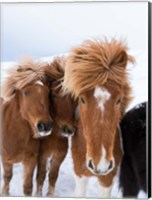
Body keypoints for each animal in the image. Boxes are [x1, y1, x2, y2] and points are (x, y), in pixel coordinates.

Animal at [0, 61, 53, 195]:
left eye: (47, 93)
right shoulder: (6, 159)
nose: (45, 125)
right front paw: (5, 193)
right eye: (26, 92)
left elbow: (28, 187)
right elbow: (7, 177)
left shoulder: (31, 159)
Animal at [35, 57, 76, 196]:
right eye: (52, 95)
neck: (53, 138)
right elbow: (41, 176)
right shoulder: (41, 156)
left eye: (73, 98)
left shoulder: (58, 157)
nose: (68, 129)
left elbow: (53, 176)